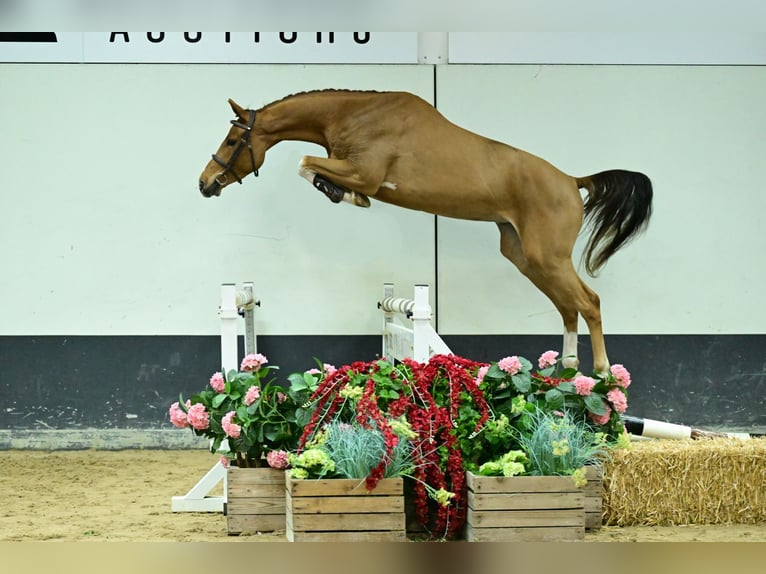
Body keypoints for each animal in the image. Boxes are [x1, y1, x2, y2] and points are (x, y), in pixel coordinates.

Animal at [198, 89, 653, 375]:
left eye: (233, 139)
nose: (205, 184)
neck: (353, 115)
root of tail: (572, 181)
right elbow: (310, 164)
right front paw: (342, 194)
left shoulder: (363, 173)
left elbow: (306, 163)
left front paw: (343, 194)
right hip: (526, 258)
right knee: (567, 307)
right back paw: (569, 372)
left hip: (548, 257)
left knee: (588, 302)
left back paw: (602, 374)